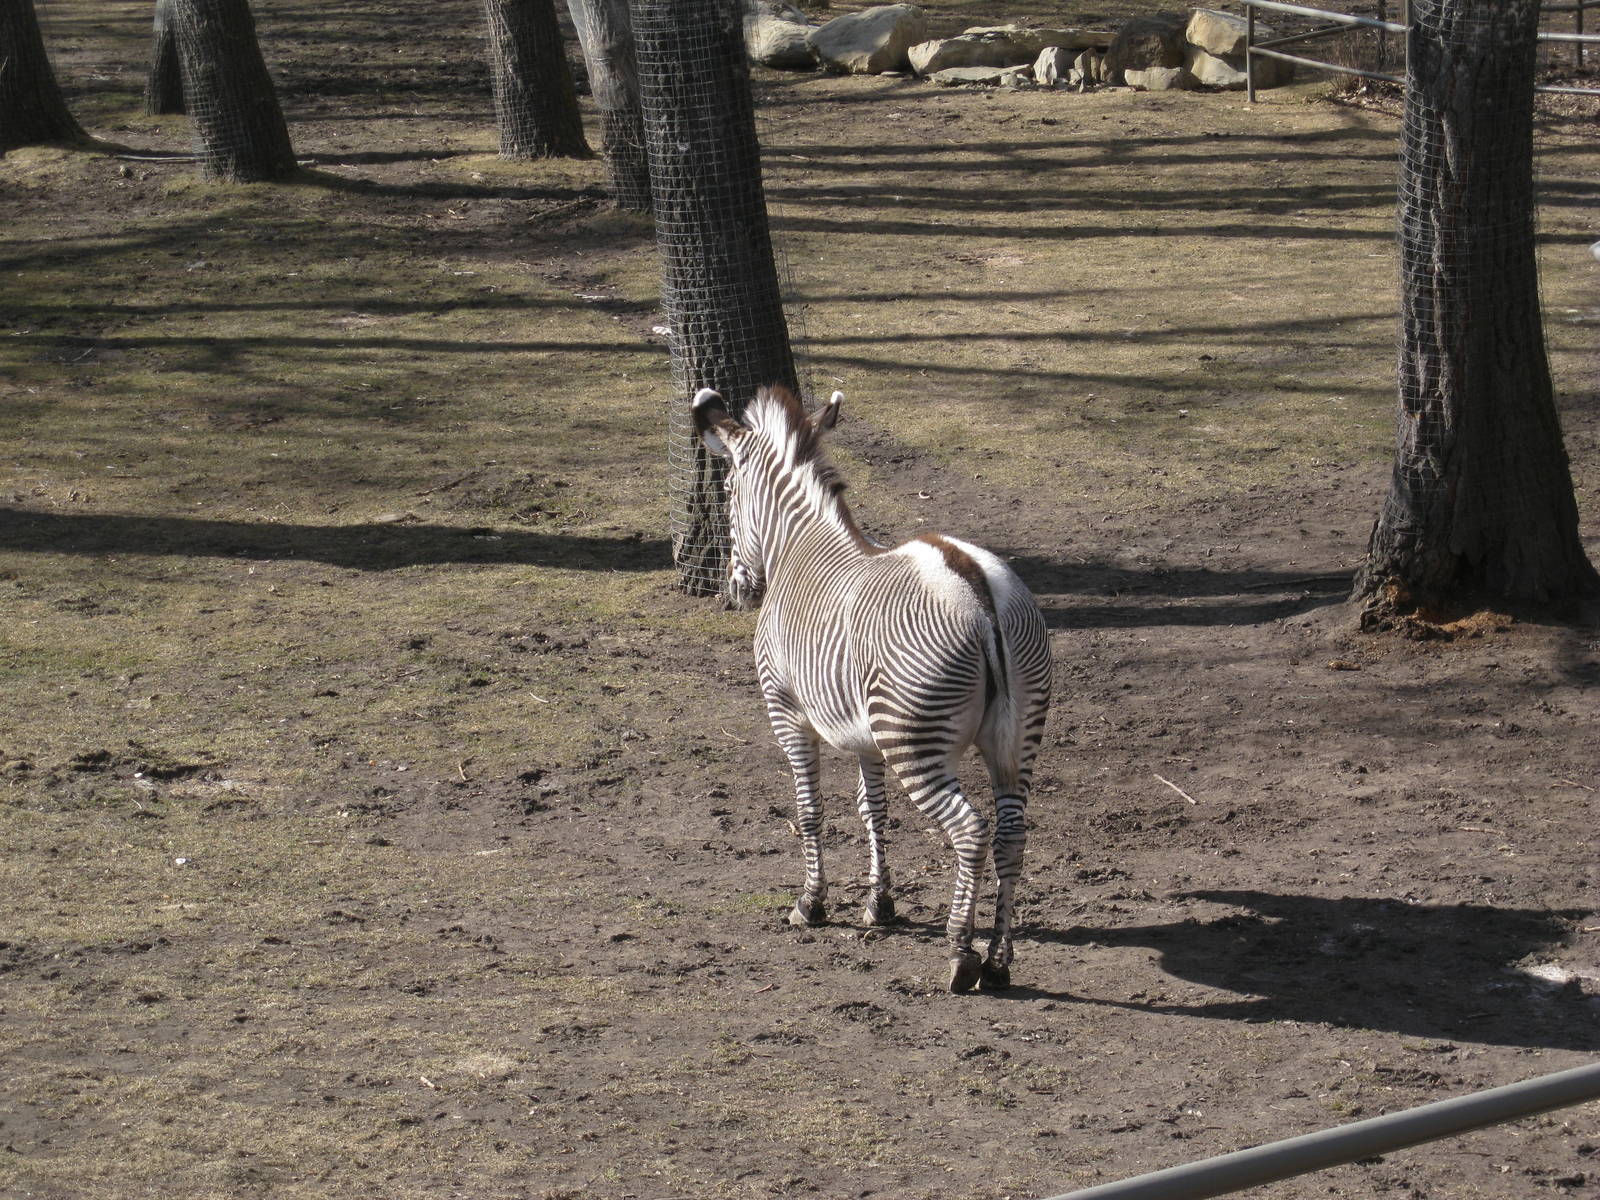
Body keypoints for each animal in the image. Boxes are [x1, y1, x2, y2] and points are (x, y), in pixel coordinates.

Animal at [693, 384, 1052, 993]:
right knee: (1011, 833)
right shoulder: (865, 736)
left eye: (727, 490)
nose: (737, 592)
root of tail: (977, 591)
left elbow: (809, 808)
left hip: (915, 739)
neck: (797, 545)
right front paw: (879, 906)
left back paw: (961, 952)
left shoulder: (787, 712)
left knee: (971, 830)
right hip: (1013, 737)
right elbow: (872, 810)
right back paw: (1000, 961)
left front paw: (811, 904)